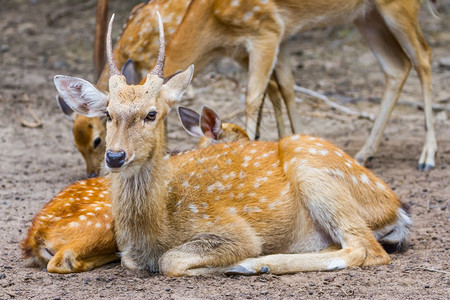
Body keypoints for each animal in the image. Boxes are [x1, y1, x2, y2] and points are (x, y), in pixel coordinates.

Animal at [163, 0, 438, 170]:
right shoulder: (277, 37)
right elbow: (285, 86)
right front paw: (295, 141)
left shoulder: (266, 31)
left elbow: (253, 96)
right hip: (366, 16)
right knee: (397, 66)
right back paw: (364, 153)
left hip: (397, 8)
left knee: (423, 55)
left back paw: (427, 156)